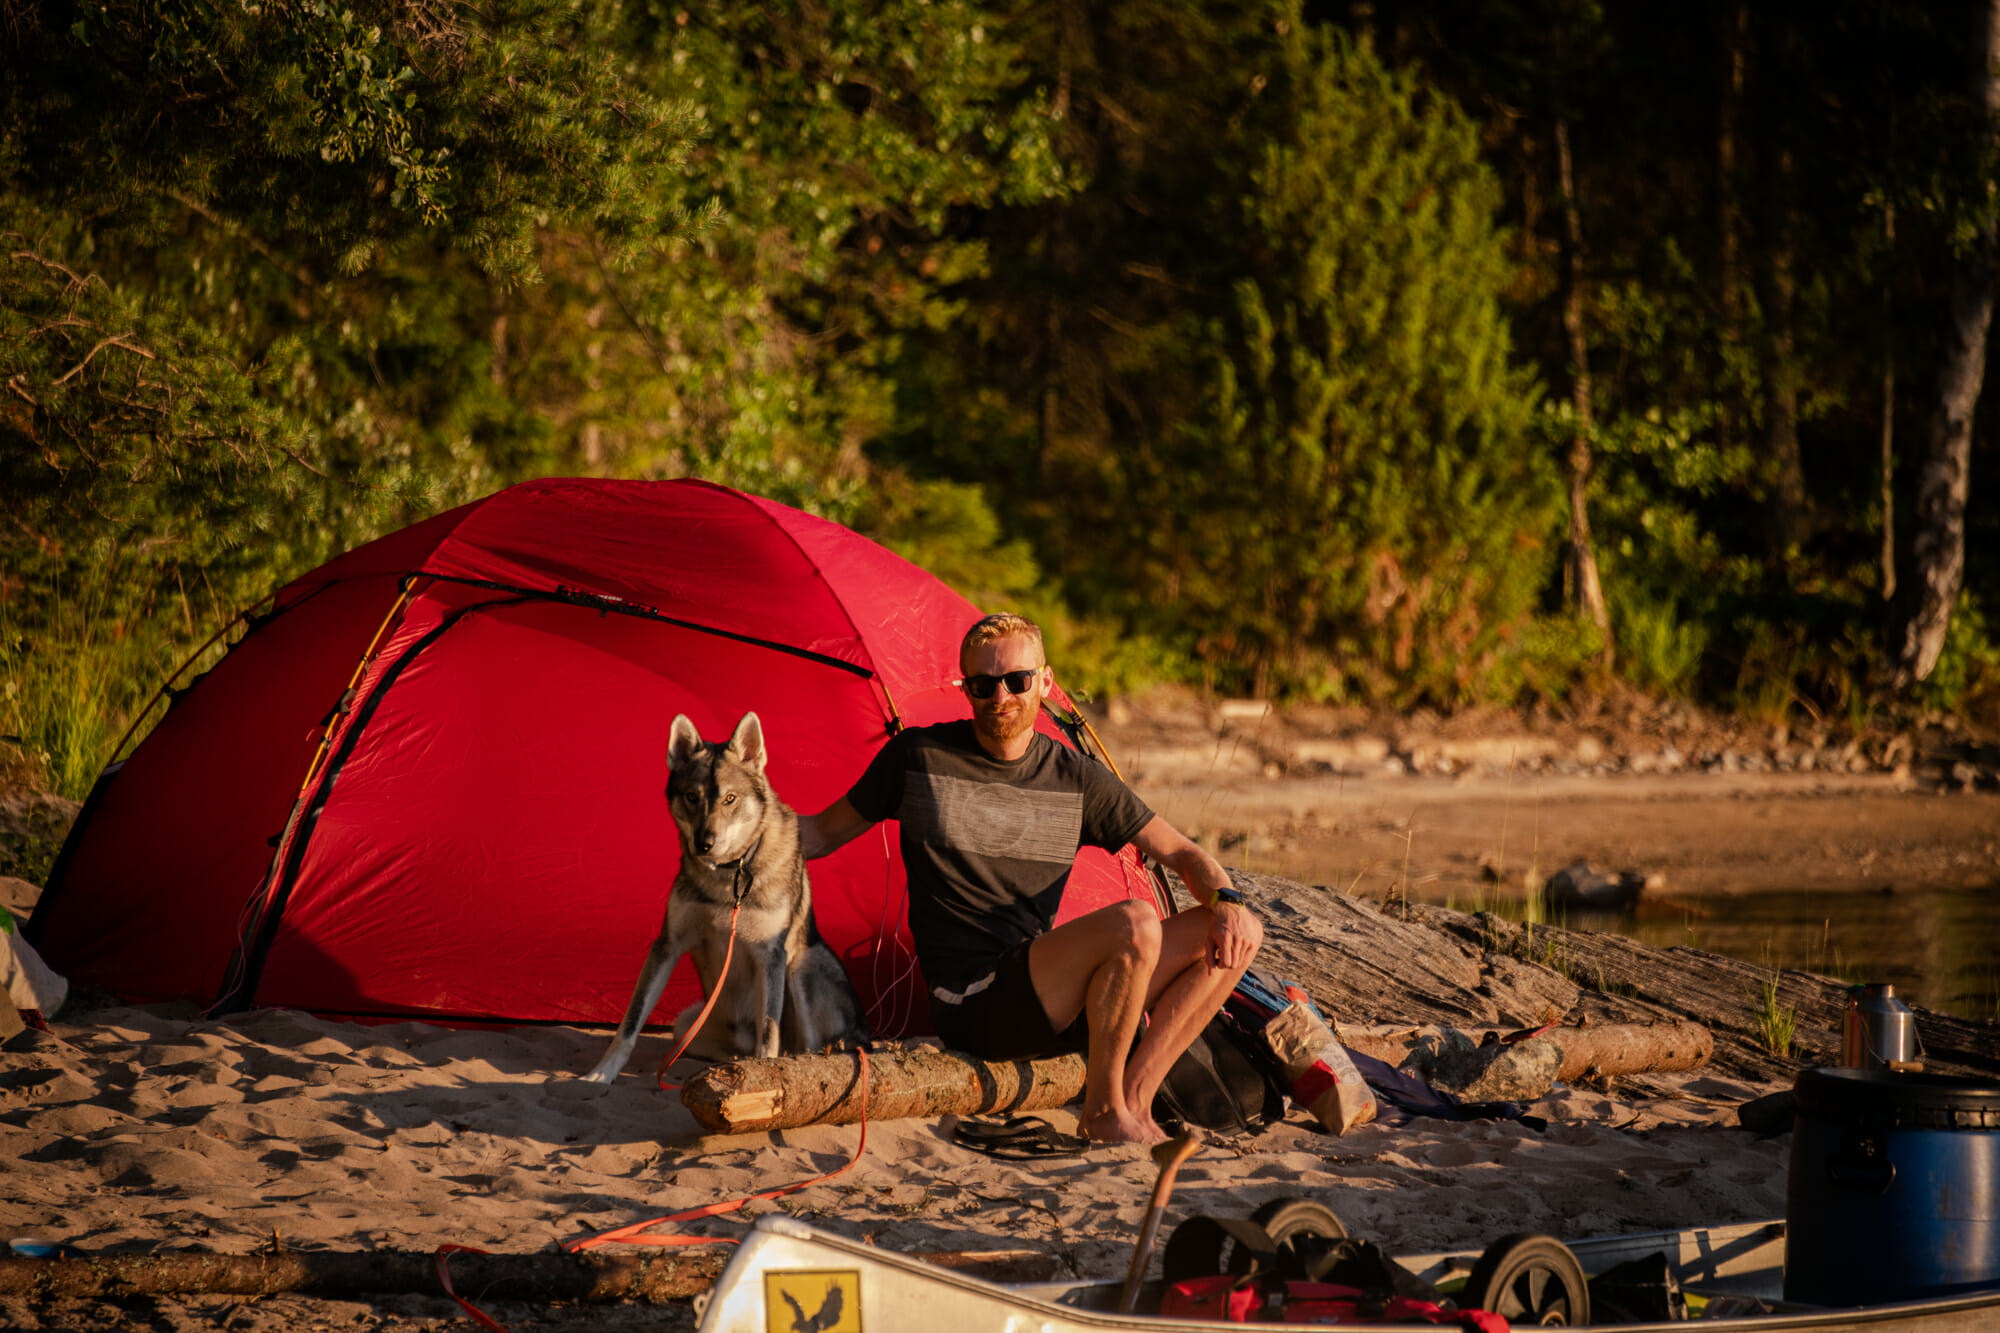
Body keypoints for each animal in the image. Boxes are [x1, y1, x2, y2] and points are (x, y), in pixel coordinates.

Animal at [576, 712, 864, 1072]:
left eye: (730, 799)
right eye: (691, 797)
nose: (703, 843)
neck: (730, 876)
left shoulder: (771, 955)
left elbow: (768, 1036)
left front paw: (765, 1076)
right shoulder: (667, 945)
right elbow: (630, 1023)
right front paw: (601, 1074)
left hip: (801, 966)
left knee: (808, 1049)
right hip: (686, 1022)